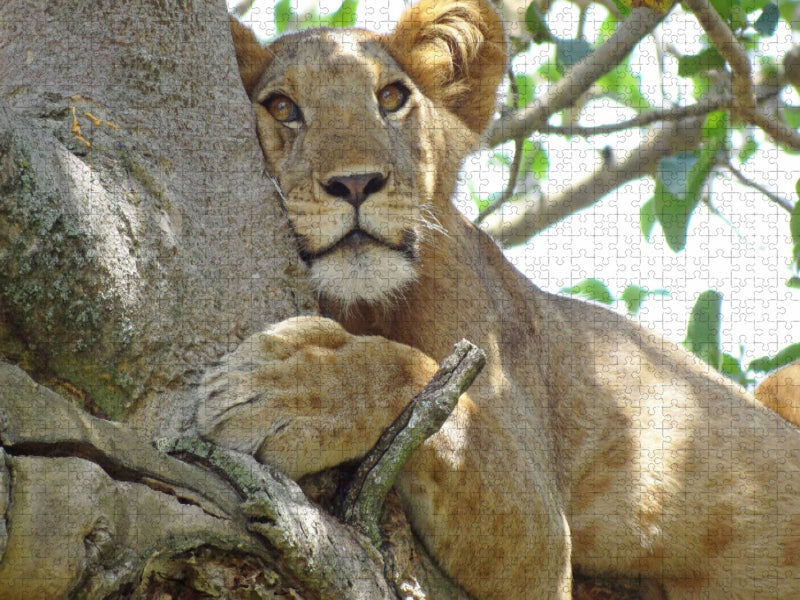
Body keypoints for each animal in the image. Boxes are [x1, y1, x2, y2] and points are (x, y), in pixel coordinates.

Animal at [197, 1, 800, 598]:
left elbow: (417, 380)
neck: (365, 305)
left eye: (390, 98)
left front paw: (283, 389)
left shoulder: (544, 542)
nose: (356, 184)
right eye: (282, 107)